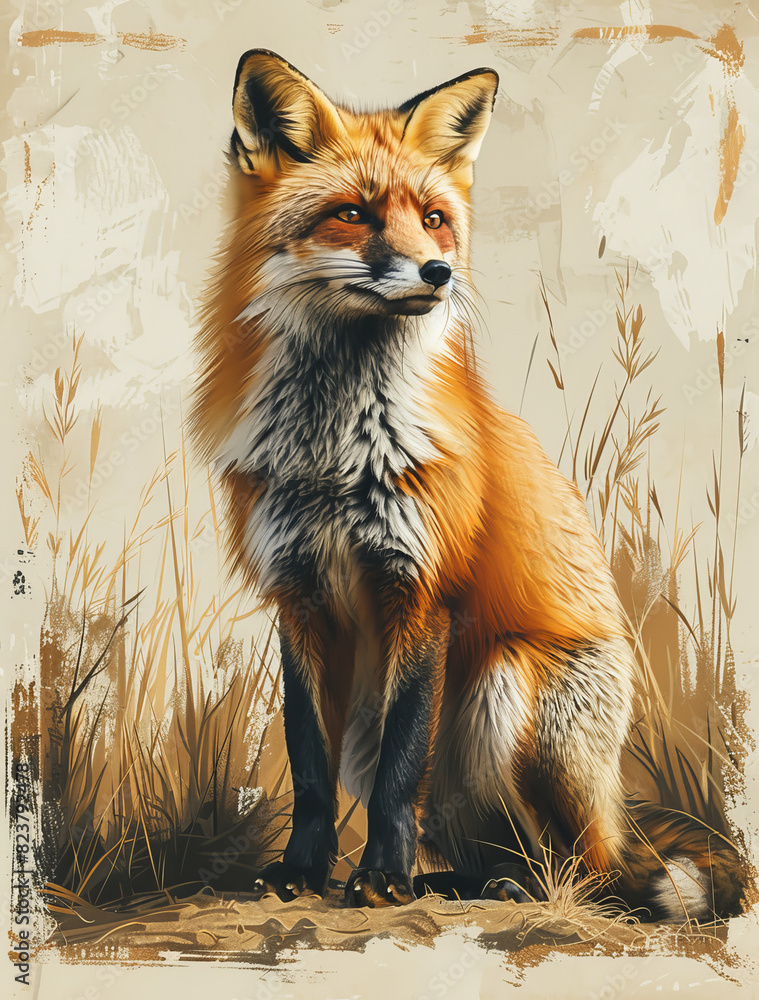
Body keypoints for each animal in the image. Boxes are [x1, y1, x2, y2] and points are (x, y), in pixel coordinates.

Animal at [191, 49, 745, 920]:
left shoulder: (421, 591)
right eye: (352, 214)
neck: (335, 453)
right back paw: (456, 881)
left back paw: (504, 887)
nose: (438, 271)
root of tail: (613, 814)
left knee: (582, 870)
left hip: (507, 688)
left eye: (434, 218)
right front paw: (302, 872)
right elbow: (308, 766)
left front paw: (379, 878)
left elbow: (400, 767)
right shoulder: (297, 593)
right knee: (487, 842)